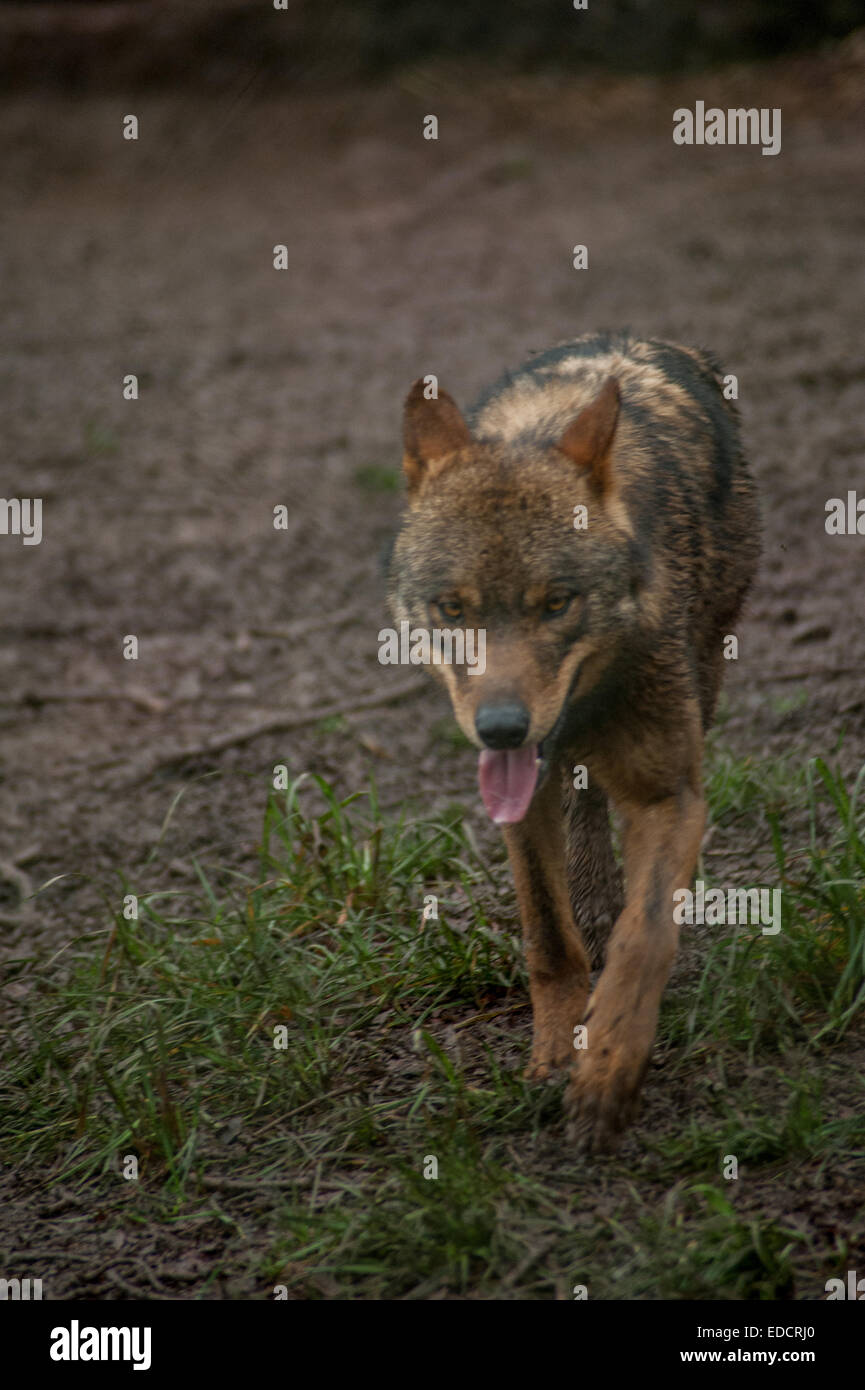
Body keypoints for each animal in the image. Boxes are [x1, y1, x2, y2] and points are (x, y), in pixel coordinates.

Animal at [387, 332, 760, 1148]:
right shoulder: (520, 802)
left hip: (710, 666)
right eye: (452, 609)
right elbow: (549, 940)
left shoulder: (669, 794)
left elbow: (646, 936)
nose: (501, 727)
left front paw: (608, 1072)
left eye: (556, 603)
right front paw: (557, 1054)